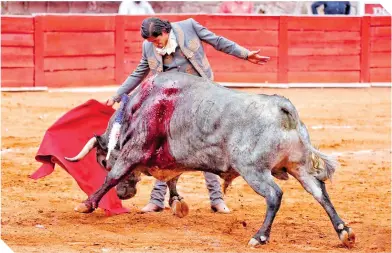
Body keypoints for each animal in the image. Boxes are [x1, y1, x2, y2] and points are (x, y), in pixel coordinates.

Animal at [65, 72, 356, 248]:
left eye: (102, 161)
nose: (125, 195)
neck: (140, 106)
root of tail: (281, 107)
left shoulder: (134, 151)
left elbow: (112, 177)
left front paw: (86, 204)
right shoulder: (171, 160)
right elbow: (172, 179)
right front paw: (178, 203)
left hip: (254, 170)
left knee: (275, 195)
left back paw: (259, 237)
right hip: (299, 167)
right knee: (320, 192)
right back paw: (344, 232)